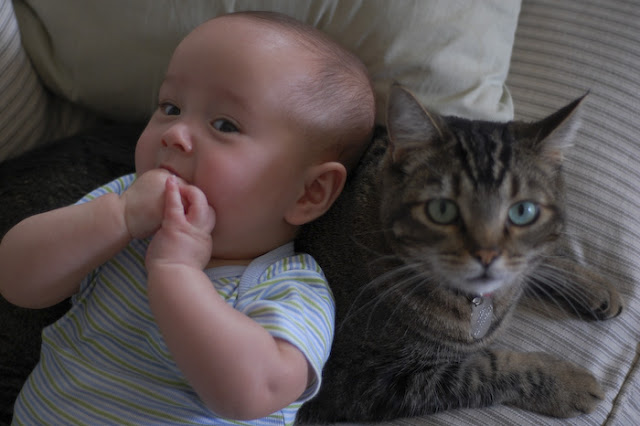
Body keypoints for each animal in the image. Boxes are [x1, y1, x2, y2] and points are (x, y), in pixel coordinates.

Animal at [296, 85, 620, 422]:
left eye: (523, 212)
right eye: (442, 209)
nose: (487, 254)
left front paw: (593, 284)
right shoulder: (363, 380)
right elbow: (485, 369)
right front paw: (565, 381)